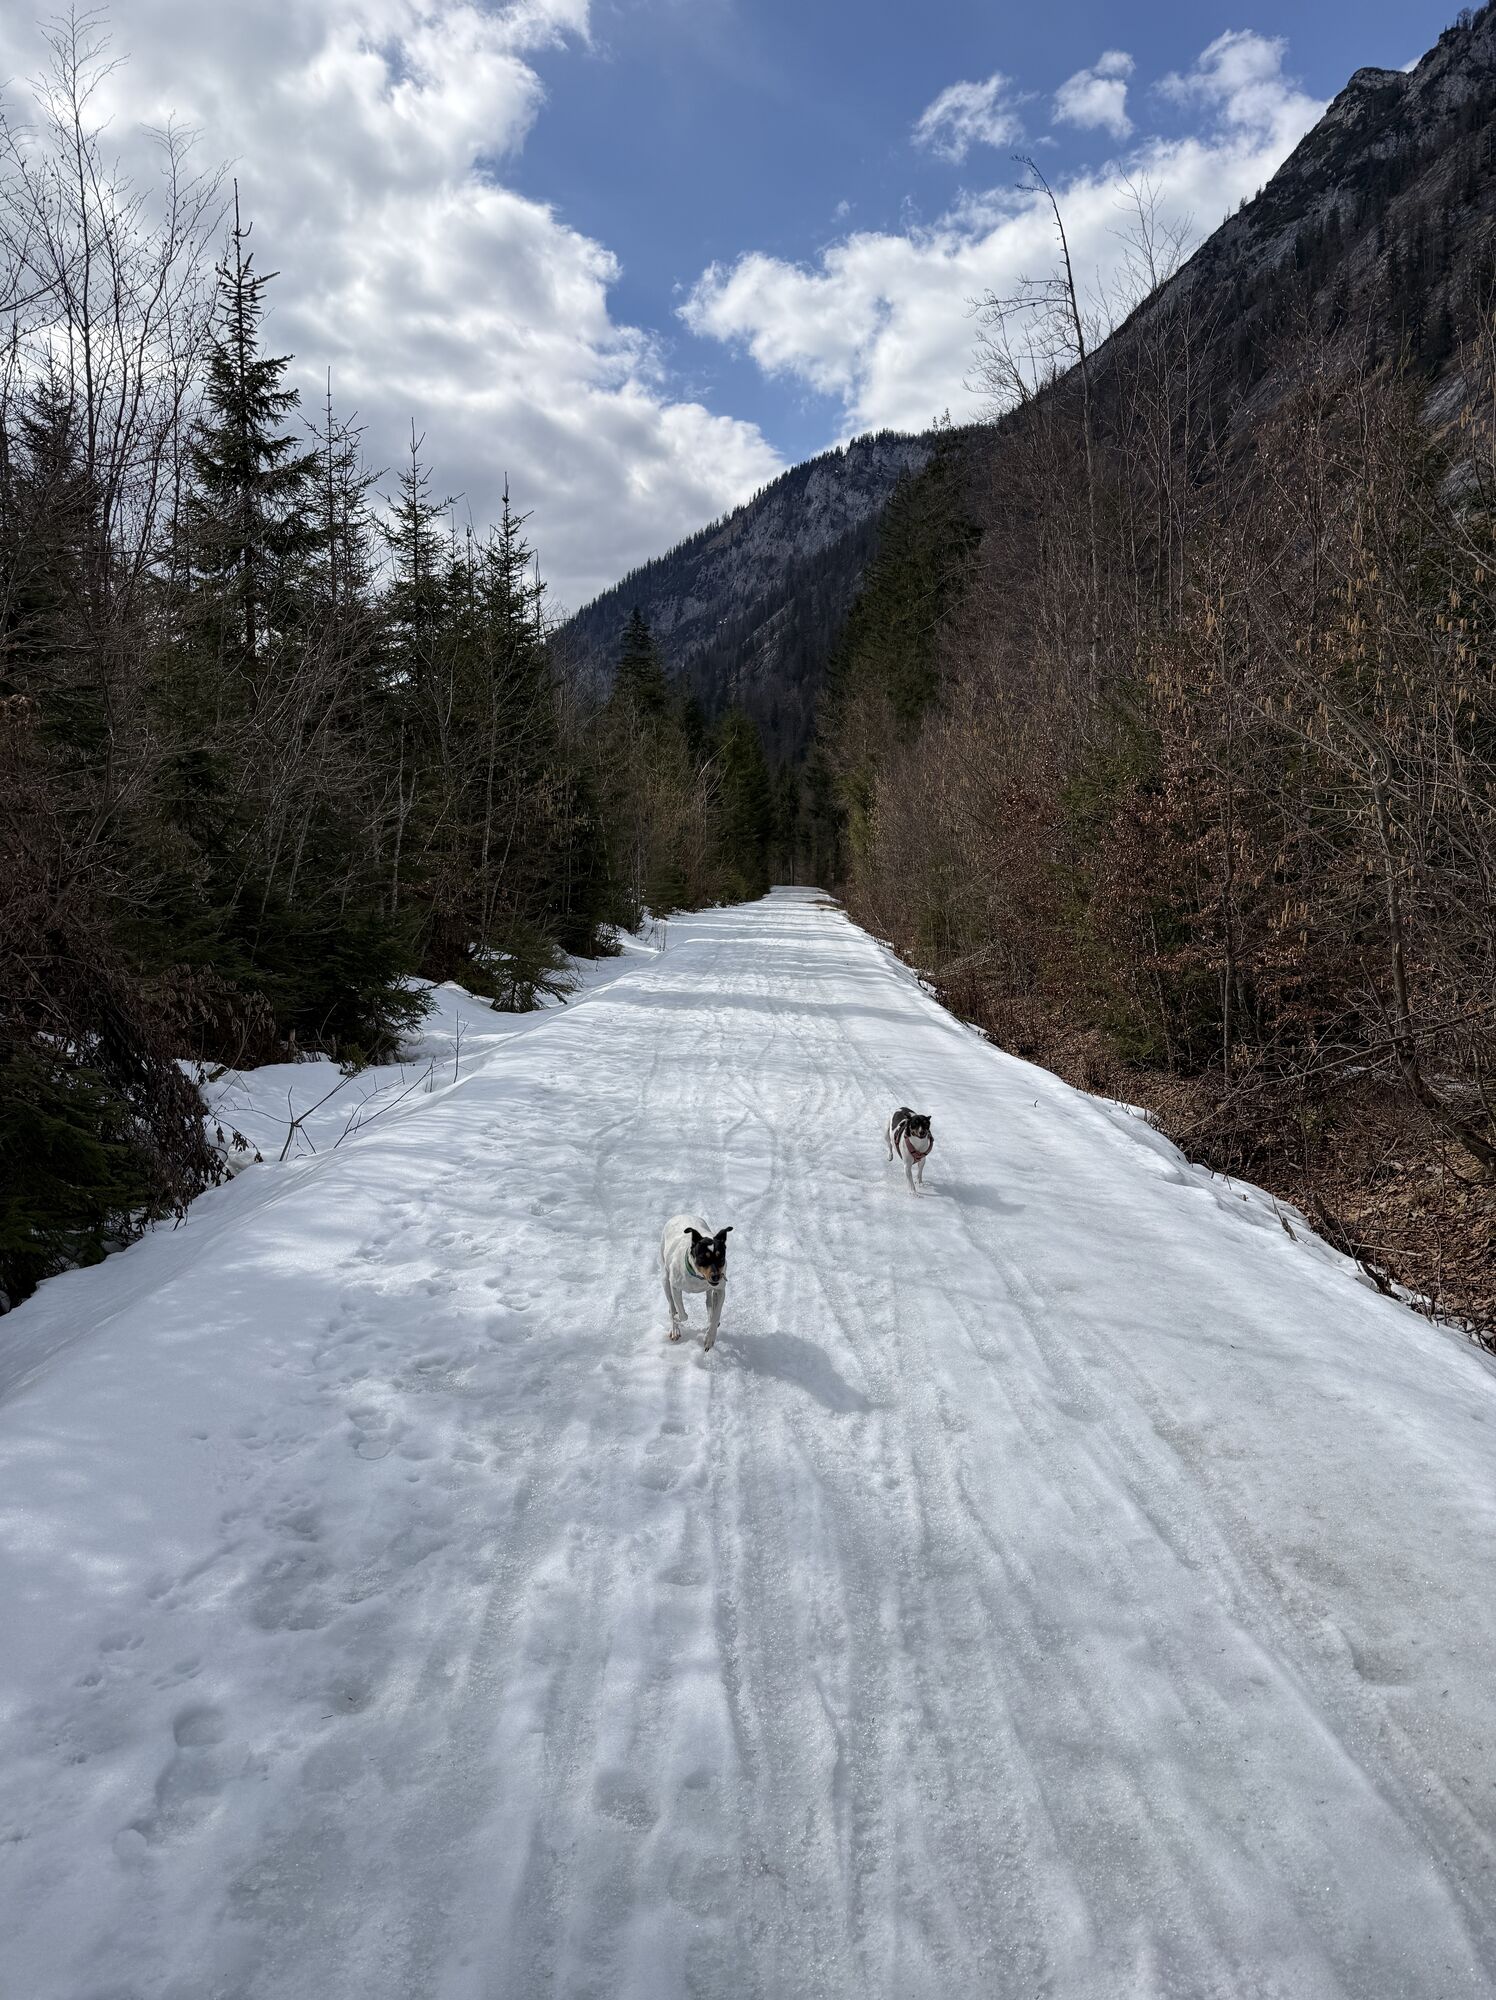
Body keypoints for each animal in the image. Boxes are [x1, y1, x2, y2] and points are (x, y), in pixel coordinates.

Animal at [660, 1214, 732, 1351]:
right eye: (703, 1258)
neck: (698, 1277)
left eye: (721, 1258)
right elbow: (682, 1314)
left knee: (709, 1301)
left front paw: (709, 1338)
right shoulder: (675, 1287)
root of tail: (681, 1214)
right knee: (671, 1305)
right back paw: (675, 1328)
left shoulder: (720, 1290)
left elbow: (716, 1315)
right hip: (665, 1278)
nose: (716, 1277)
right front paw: (676, 1318)